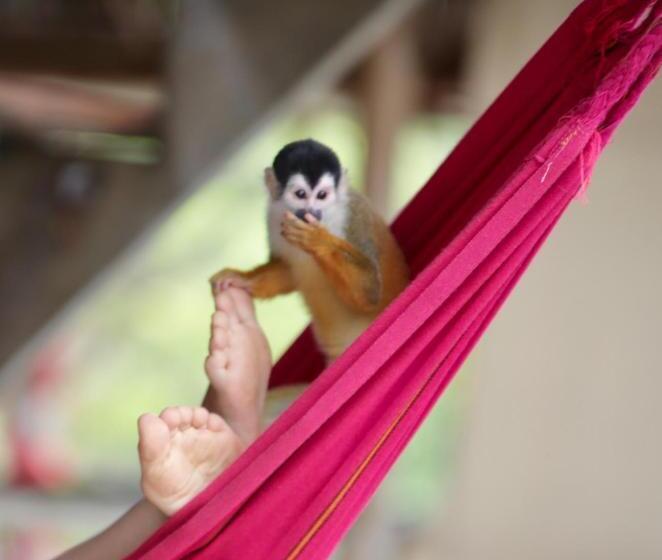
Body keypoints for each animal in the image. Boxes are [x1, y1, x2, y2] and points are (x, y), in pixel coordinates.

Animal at [210, 139, 410, 362]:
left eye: (322, 195)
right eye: (300, 194)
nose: (311, 212)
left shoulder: (354, 214)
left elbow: (370, 293)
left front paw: (318, 240)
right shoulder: (273, 217)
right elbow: (287, 272)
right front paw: (244, 278)